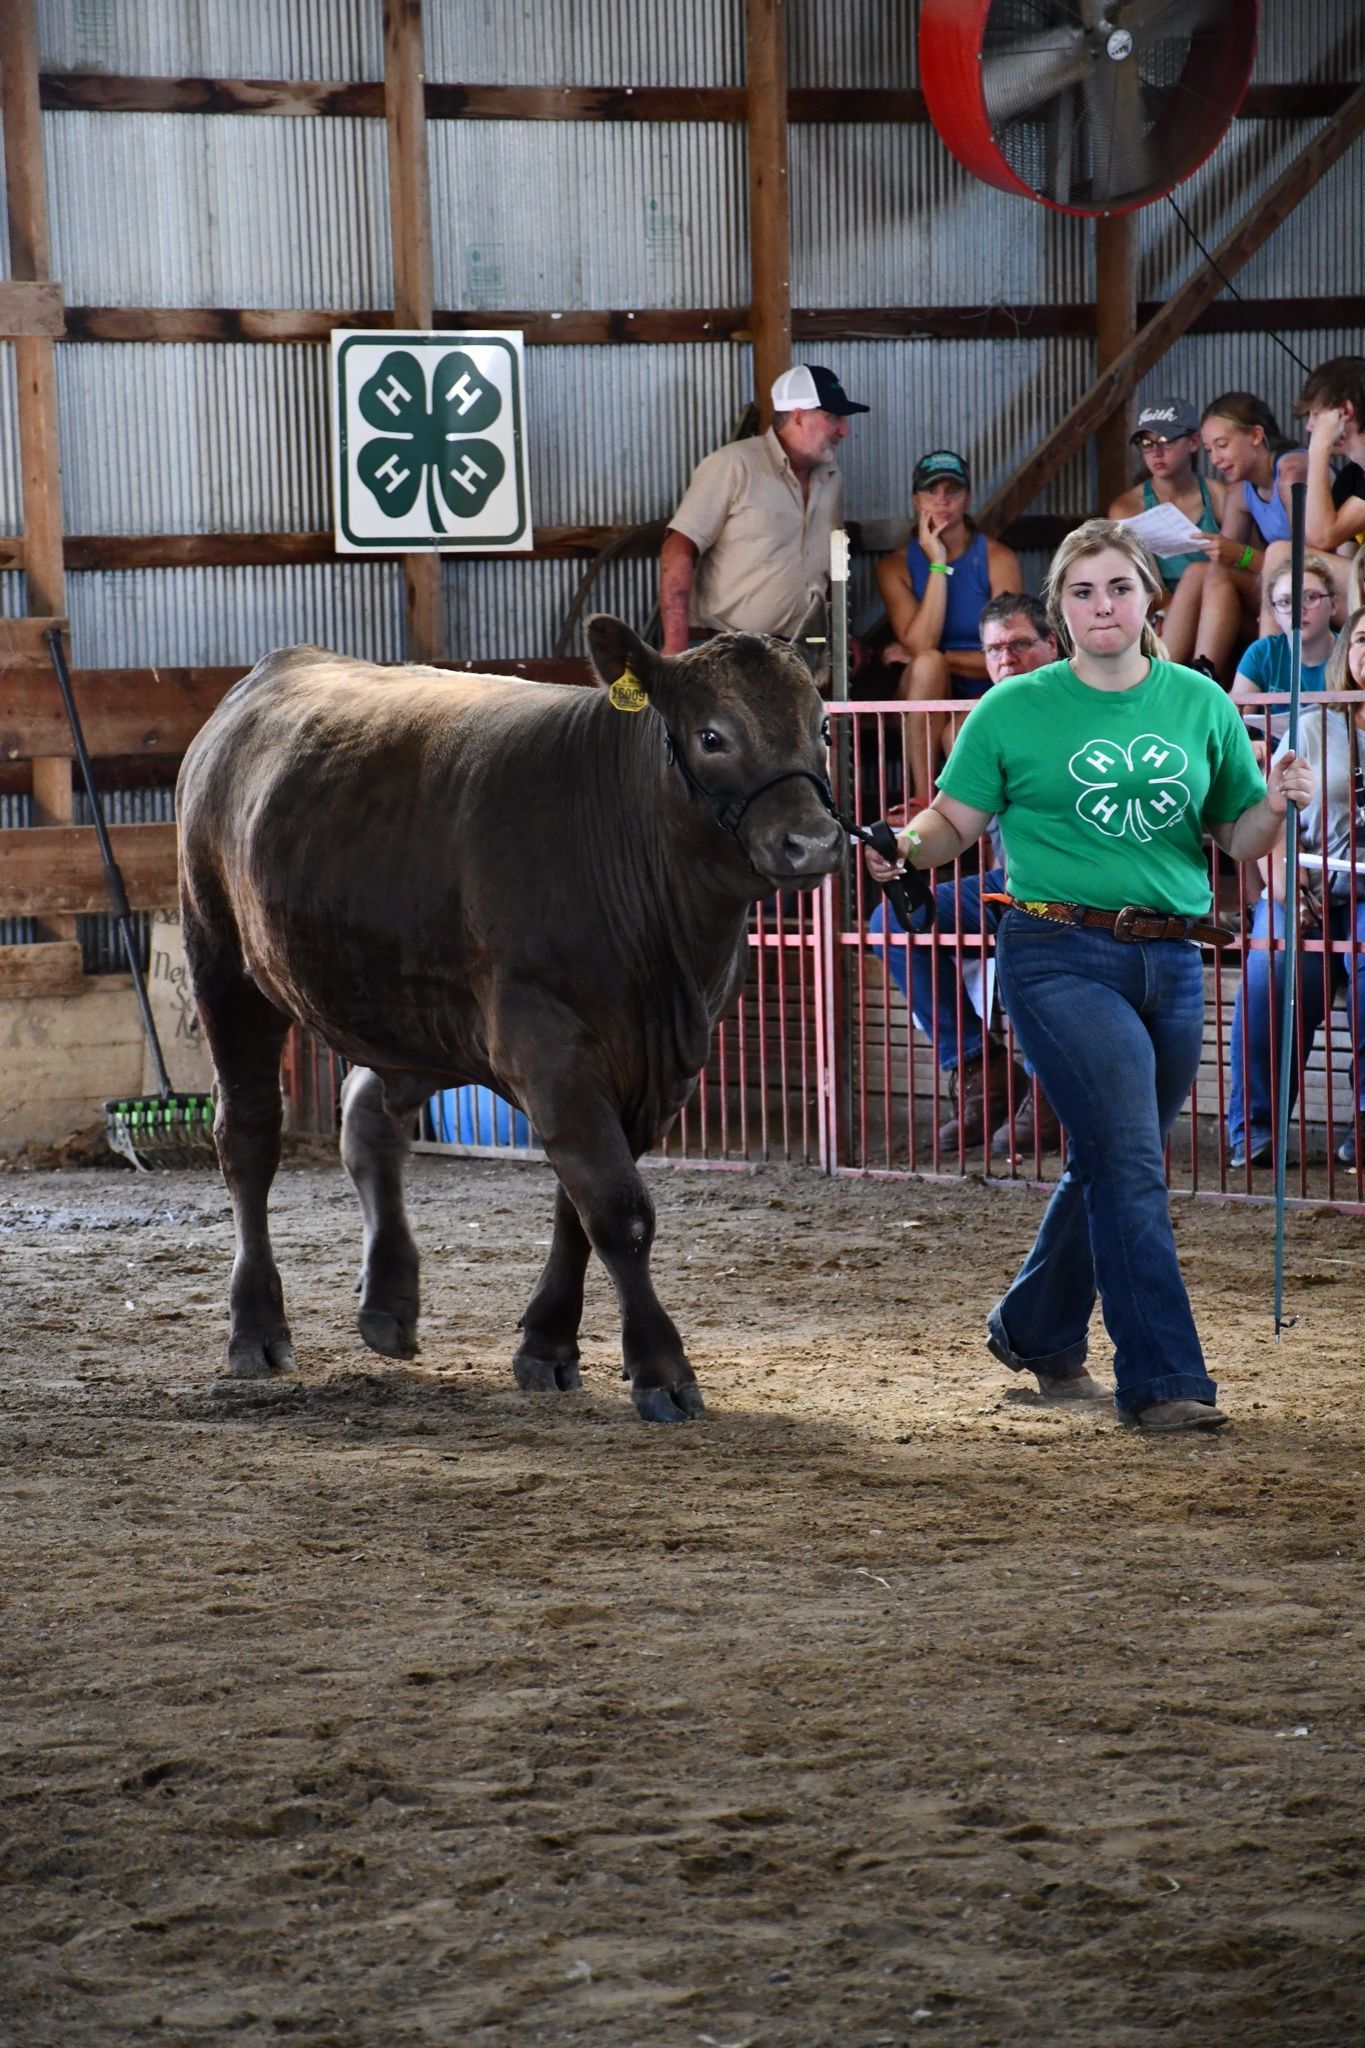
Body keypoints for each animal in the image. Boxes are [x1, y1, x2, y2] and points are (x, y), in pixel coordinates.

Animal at [176, 612, 845, 1422]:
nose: (813, 841)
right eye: (712, 735)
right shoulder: (551, 1050)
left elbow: (577, 1209)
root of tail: (272, 669)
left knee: (368, 1119)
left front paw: (548, 1345)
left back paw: (389, 1303)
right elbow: (617, 1208)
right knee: (247, 1134)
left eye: (823, 726)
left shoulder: (658, 1069)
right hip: (223, 959)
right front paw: (661, 1369)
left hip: (400, 1010)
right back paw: (256, 1327)